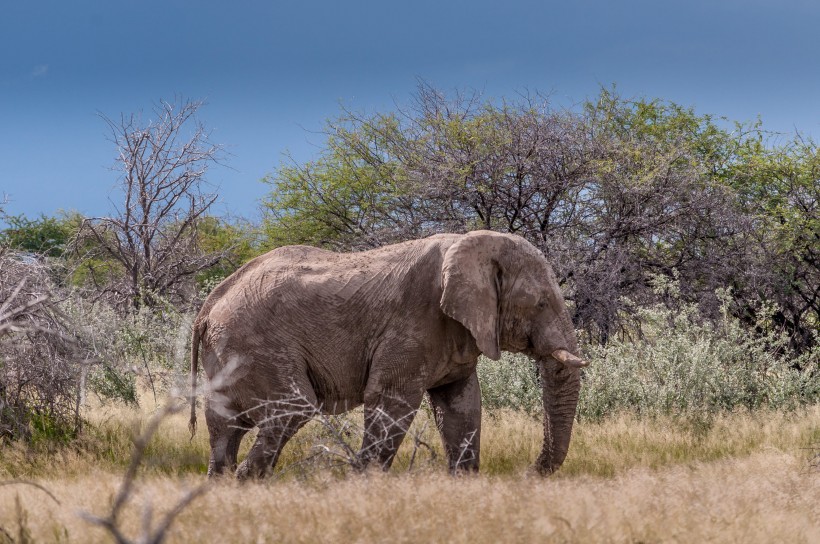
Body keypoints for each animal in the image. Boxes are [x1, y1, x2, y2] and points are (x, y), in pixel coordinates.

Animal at [189, 232, 588, 478]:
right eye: (541, 303)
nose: (529, 472)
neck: (471, 243)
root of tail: (208, 307)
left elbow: (462, 405)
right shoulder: (412, 322)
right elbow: (392, 399)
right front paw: (361, 484)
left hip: (229, 351)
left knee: (225, 424)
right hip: (254, 346)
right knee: (293, 408)